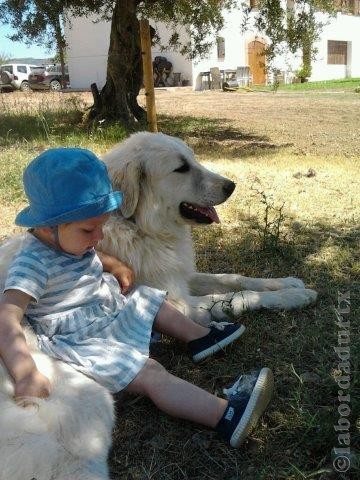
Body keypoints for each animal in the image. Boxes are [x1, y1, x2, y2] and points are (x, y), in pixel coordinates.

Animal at [0, 132, 316, 480]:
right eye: (181, 168)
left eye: (193, 159)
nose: (231, 185)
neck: (136, 225)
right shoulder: (180, 301)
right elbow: (239, 298)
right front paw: (294, 297)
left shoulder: (180, 278)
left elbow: (235, 278)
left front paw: (288, 283)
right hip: (85, 403)